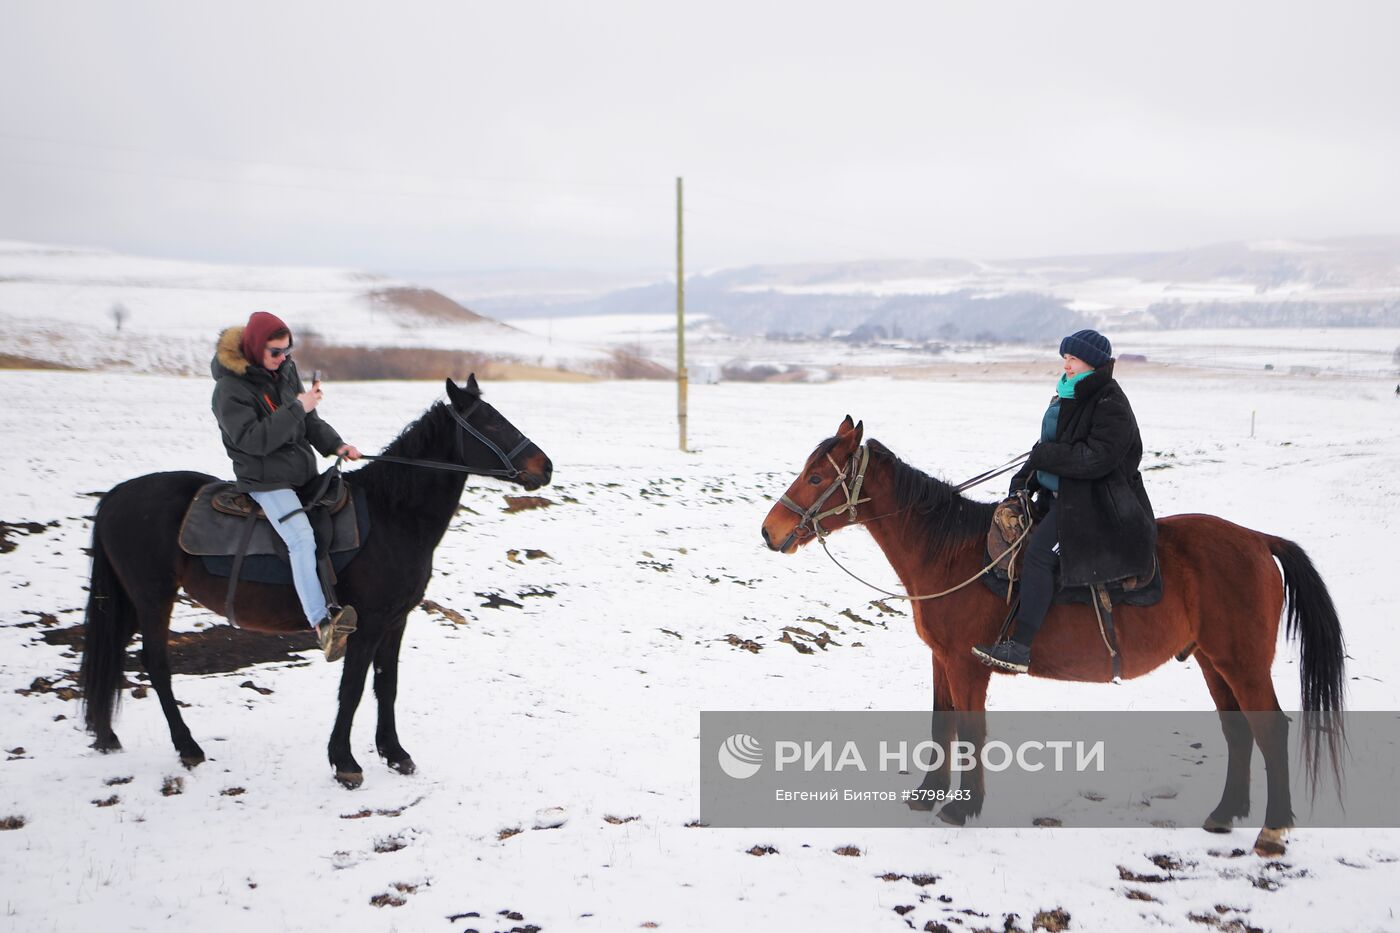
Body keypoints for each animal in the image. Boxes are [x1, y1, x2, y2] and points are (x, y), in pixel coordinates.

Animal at [79, 375, 551, 778]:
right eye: (491, 421)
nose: (544, 467)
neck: (392, 516)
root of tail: (117, 495)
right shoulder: (367, 624)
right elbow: (353, 689)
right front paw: (345, 761)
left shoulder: (396, 621)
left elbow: (388, 685)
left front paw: (395, 753)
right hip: (153, 597)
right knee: (156, 664)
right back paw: (187, 746)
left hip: (132, 600)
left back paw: (107, 735)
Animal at [767, 417, 1344, 851]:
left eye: (817, 478)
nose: (770, 531)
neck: (953, 553)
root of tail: (1258, 540)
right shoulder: (941, 659)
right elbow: (941, 724)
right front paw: (929, 796)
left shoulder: (967, 664)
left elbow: (970, 731)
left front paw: (962, 809)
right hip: (1212, 659)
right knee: (1238, 731)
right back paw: (1225, 813)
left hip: (1243, 663)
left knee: (1270, 730)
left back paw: (1272, 829)